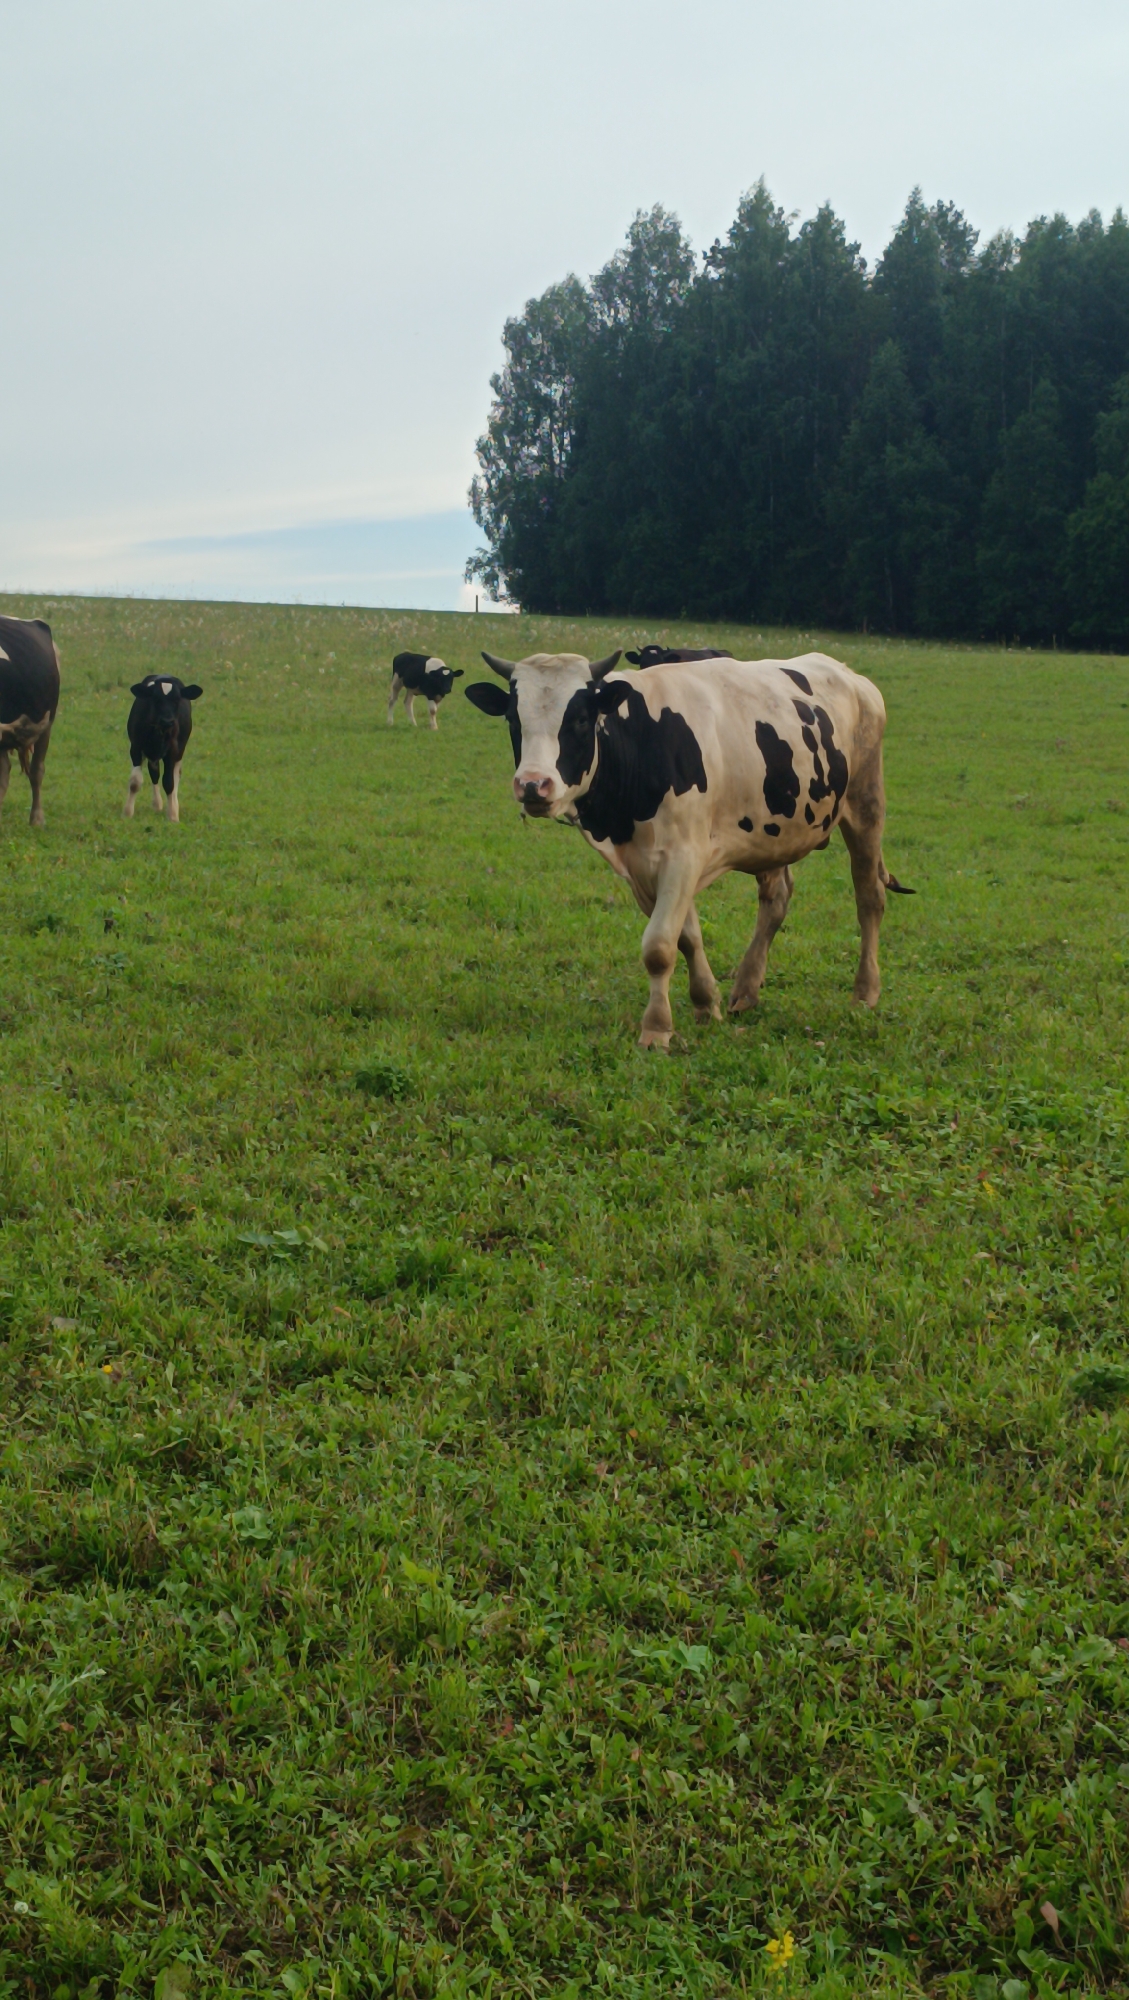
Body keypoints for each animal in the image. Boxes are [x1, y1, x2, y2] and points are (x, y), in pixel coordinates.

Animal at [124, 675, 202, 823]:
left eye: (177, 700)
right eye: (156, 699)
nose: (167, 721)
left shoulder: (172, 752)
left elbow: (169, 782)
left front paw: (172, 816)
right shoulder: (135, 748)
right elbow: (135, 782)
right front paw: (128, 813)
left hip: (180, 751)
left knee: (176, 775)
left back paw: (174, 805)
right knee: (154, 774)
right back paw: (157, 804)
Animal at [465, 649, 911, 1049]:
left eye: (578, 719)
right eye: (513, 718)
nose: (533, 785)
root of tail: (851, 675)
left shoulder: (684, 855)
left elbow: (659, 946)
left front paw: (657, 1029)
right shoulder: (642, 866)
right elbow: (687, 938)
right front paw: (705, 1004)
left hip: (866, 804)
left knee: (869, 897)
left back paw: (865, 992)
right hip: (774, 832)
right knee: (777, 900)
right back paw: (746, 989)